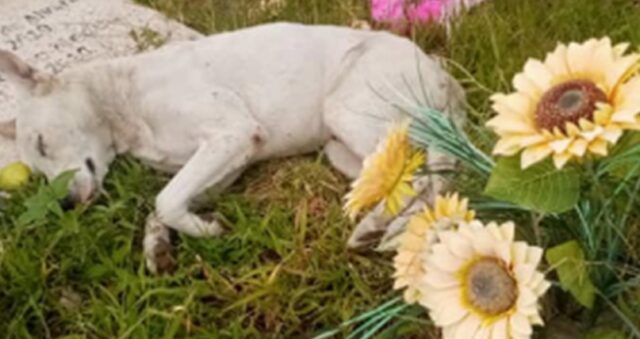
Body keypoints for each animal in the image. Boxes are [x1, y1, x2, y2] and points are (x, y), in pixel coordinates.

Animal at [0, 22, 462, 274]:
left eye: (42, 142)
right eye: (37, 173)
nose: (66, 205)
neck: (122, 98)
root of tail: (442, 74)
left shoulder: (232, 134)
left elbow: (164, 199)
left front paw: (203, 231)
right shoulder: (228, 162)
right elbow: (162, 207)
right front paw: (161, 246)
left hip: (351, 114)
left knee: (430, 174)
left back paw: (379, 229)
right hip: (345, 151)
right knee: (422, 177)